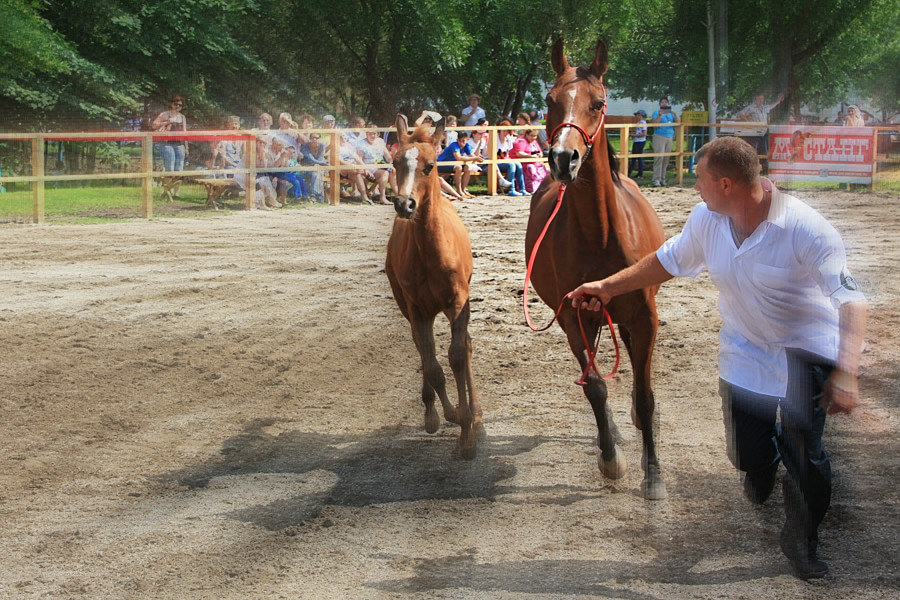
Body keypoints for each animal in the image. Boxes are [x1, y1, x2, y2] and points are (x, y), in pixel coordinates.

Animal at [388, 113, 486, 460]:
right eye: (395, 162)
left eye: (430, 165)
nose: (404, 204)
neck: (431, 251)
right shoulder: (417, 309)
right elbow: (431, 365)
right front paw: (451, 415)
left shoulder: (458, 302)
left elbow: (457, 355)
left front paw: (468, 434)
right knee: (422, 349)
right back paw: (434, 412)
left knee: (464, 348)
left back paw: (476, 415)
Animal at [528, 39, 668, 500]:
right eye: (550, 101)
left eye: (599, 102)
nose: (562, 158)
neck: (602, 234)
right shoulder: (574, 317)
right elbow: (595, 387)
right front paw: (611, 459)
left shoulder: (644, 317)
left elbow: (644, 395)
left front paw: (653, 473)